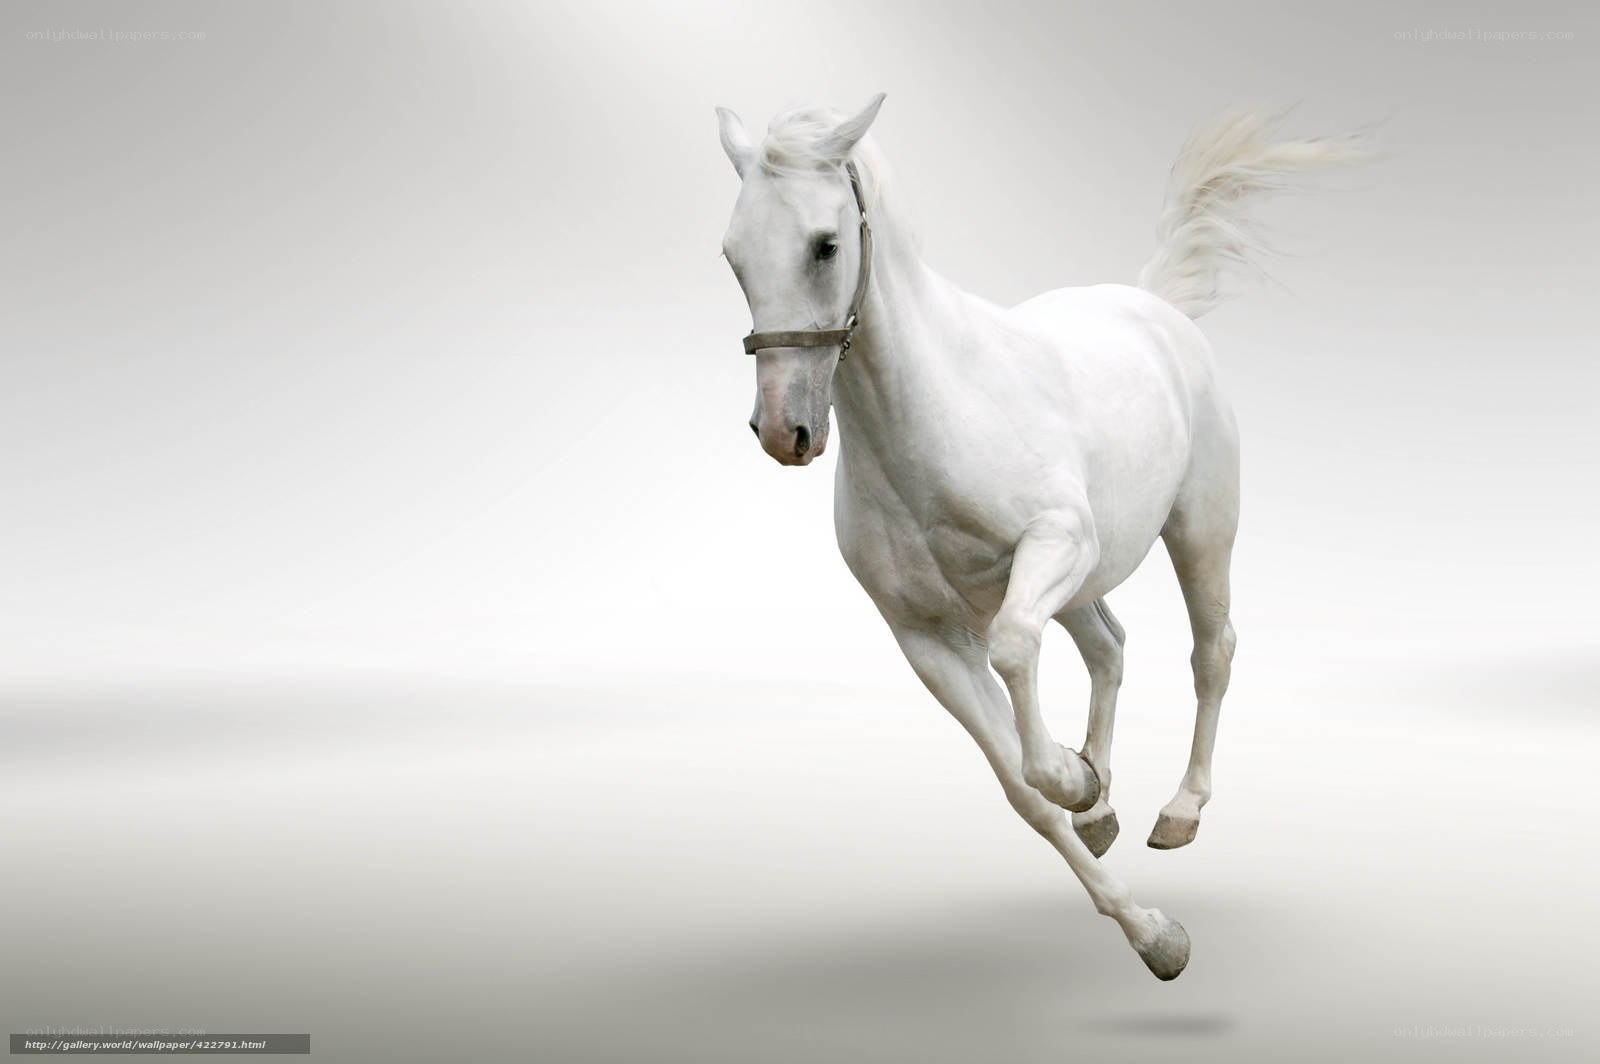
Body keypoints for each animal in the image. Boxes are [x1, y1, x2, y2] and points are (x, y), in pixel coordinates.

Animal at [715, 94, 1363, 979]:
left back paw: (1179, 810)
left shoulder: (1054, 546)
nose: (785, 432)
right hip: (1088, 581)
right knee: (1111, 647)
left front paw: (1078, 784)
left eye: (825, 244)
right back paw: (1105, 802)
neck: (934, 415)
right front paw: (1148, 923)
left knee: (1212, 652)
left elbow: (1018, 652)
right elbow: (1023, 792)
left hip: (1198, 531)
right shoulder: (925, 638)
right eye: (733, 256)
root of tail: (1154, 304)